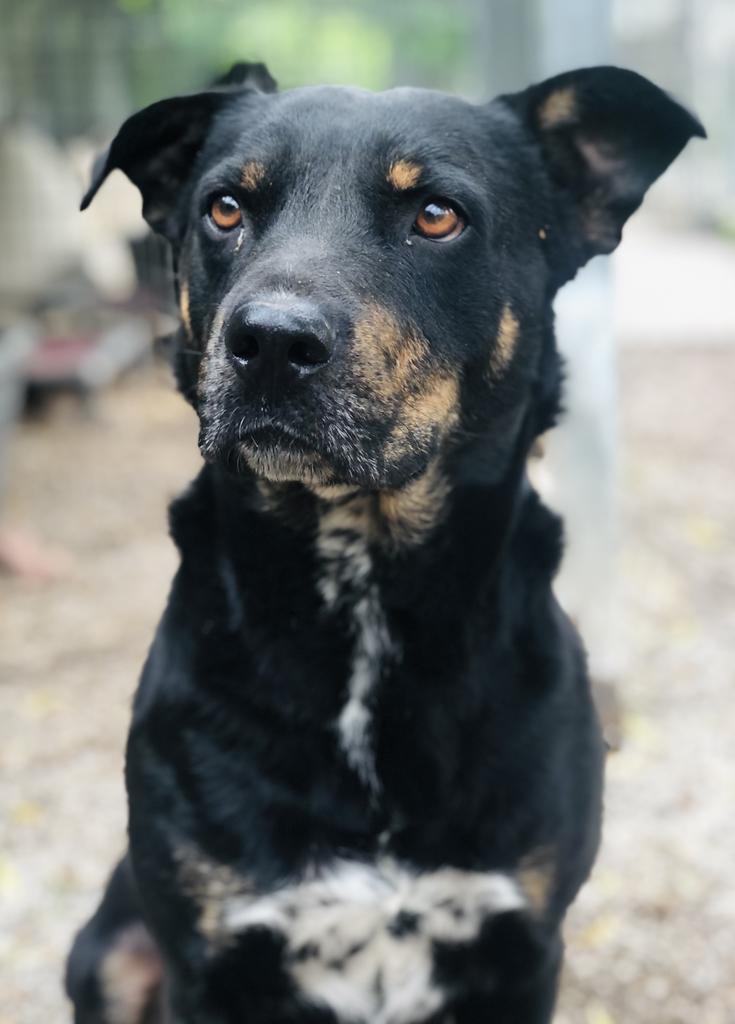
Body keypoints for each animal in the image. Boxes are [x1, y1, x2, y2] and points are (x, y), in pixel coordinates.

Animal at [66, 64, 704, 1024]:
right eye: (224, 208)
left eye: (436, 215)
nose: (269, 342)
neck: (360, 574)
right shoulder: (208, 960)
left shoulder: (521, 948)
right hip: (103, 953)